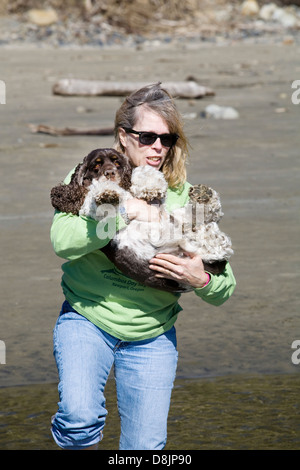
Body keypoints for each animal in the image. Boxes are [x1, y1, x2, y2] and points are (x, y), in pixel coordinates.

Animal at [50, 149, 233, 292]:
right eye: (96, 165)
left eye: (117, 162)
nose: (110, 173)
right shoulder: (90, 209)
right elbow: (95, 196)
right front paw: (106, 192)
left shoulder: (157, 203)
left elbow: (141, 173)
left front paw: (150, 185)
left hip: (179, 220)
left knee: (207, 215)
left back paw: (204, 195)